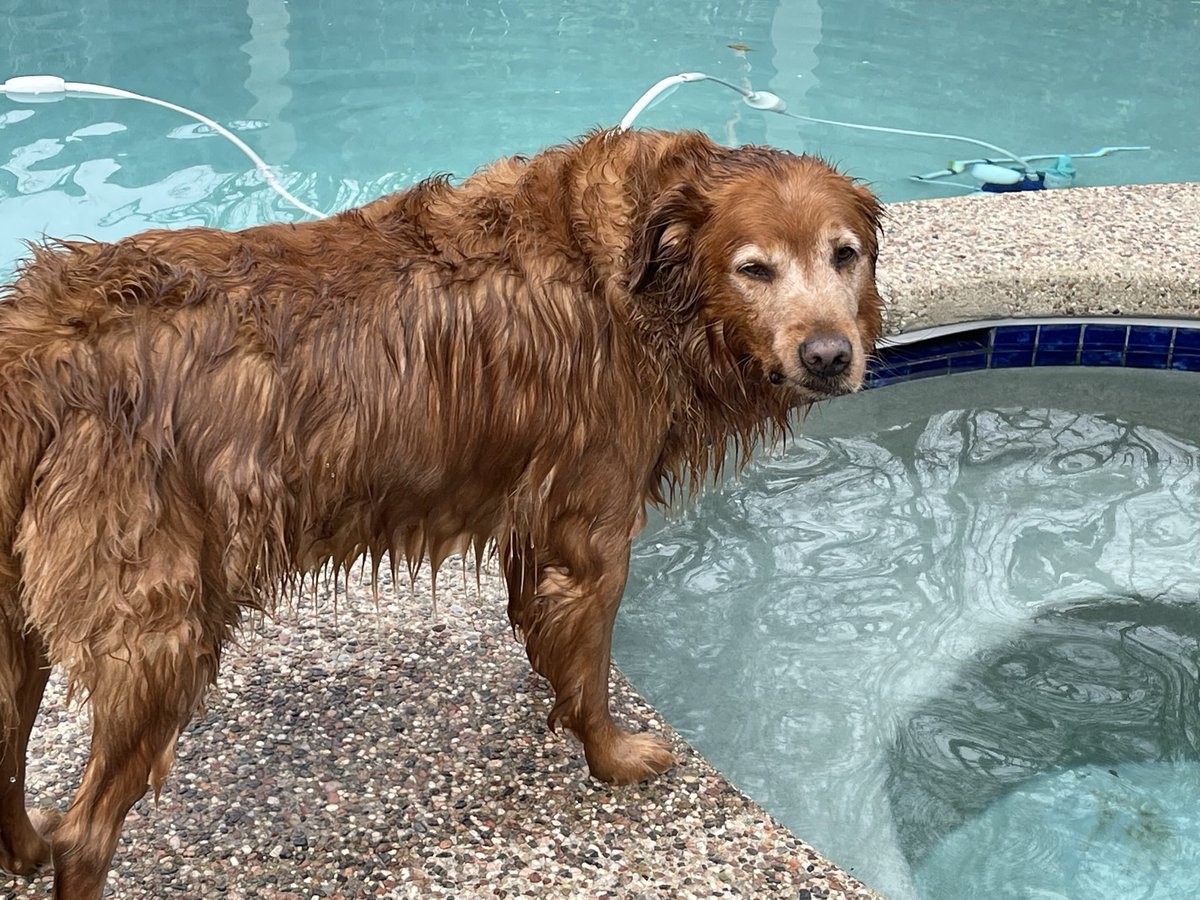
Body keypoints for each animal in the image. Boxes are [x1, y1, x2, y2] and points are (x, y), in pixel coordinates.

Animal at [0, 127, 883, 897]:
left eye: (846, 255)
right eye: (754, 269)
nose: (829, 356)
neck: (634, 281)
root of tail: (38, 346)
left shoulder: (537, 511)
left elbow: (545, 628)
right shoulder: (595, 529)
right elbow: (594, 663)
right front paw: (610, 754)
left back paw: (25, 847)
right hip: (160, 630)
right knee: (88, 834)